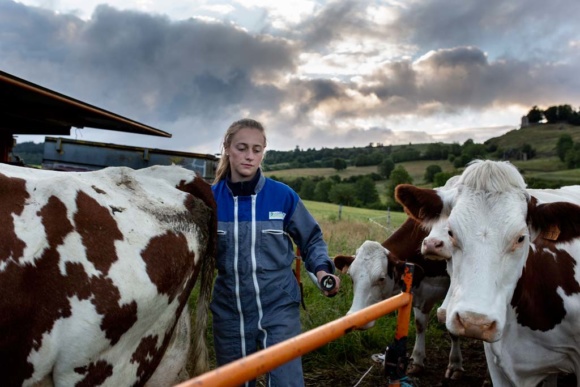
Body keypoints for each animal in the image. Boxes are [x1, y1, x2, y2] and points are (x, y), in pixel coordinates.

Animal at [334, 217, 464, 380]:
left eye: (382, 278)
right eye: (351, 277)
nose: (356, 317)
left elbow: (452, 328)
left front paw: (455, 365)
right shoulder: (419, 291)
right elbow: (420, 325)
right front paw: (417, 361)